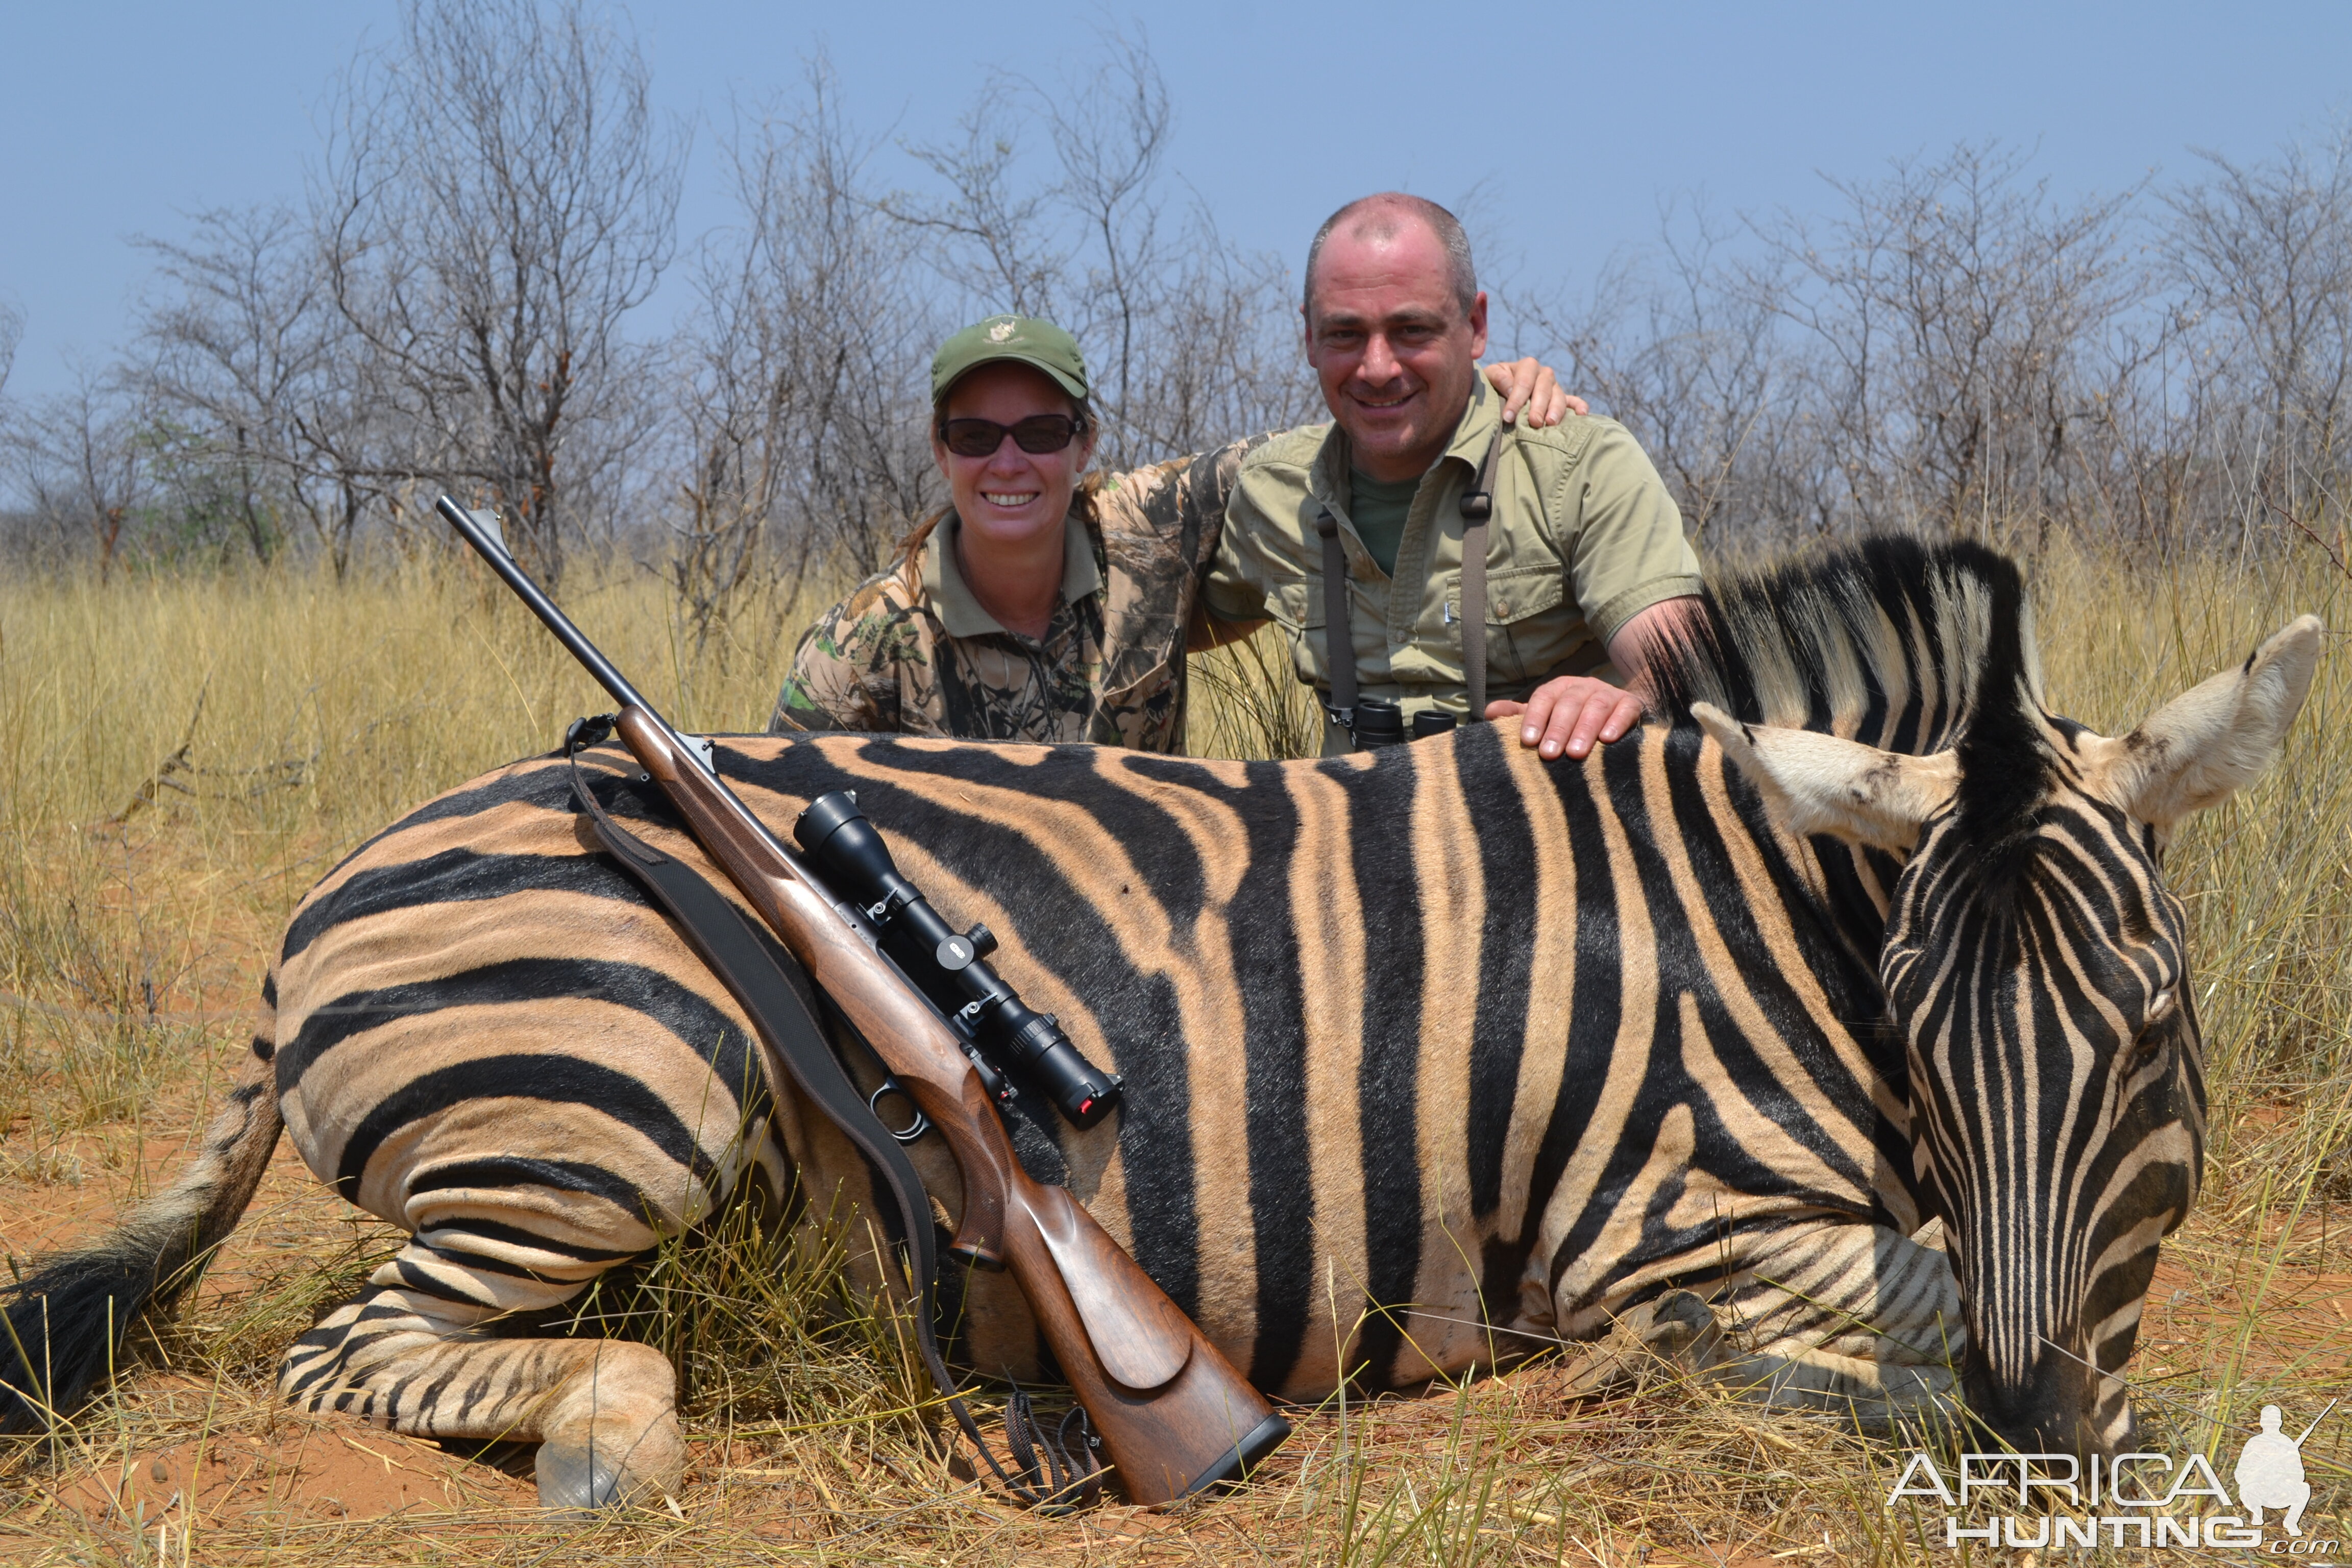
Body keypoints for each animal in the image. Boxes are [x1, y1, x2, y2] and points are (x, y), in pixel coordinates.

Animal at [0, 543, 2314, 1504]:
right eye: (1917, 1025)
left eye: (2148, 1030)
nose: (2037, 1426)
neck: (1759, 917)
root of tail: (314, 915)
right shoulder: (1659, 1229)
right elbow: (1909, 1305)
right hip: (618, 1092)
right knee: (363, 1353)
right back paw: (609, 1433)